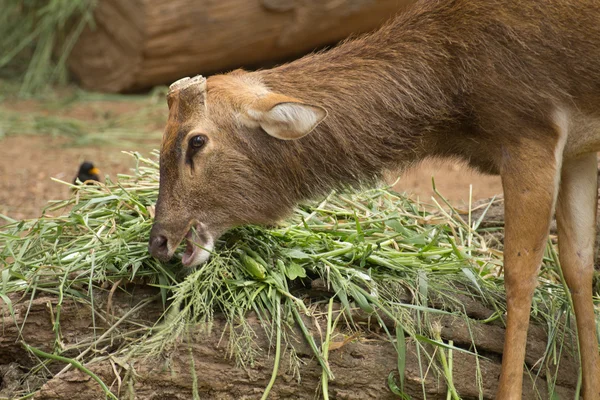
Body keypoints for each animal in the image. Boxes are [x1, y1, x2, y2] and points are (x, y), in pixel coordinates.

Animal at [149, 0, 600, 396]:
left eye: (196, 141)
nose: (158, 240)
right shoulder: (579, 150)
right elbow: (578, 266)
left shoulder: (530, 131)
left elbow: (520, 276)